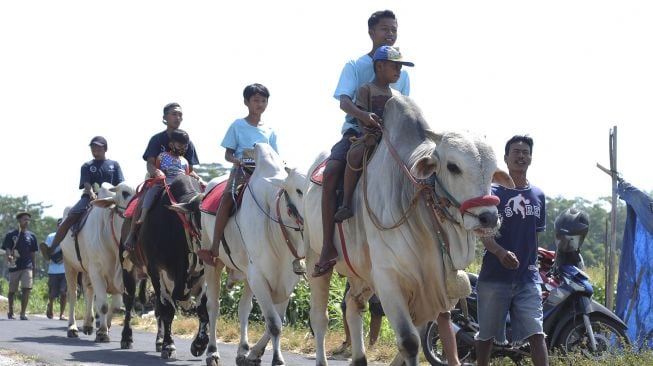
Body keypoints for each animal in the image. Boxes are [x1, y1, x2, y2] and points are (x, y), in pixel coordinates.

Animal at [60, 182, 135, 342]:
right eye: (125, 193)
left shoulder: (123, 275)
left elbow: (116, 306)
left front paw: (106, 326)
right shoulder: (97, 272)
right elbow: (103, 305)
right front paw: (101, 333)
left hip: (87, 270)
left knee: (89, 291)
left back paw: (88, 325)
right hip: (70, 265)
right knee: (73, 295)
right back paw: (72, 328)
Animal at [200, 143, 306, 366]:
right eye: (299, 190)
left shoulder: (287, 281)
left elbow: (277, 320)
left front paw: (254, 354)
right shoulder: (259, 277)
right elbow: (274, 324)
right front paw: (277, 359)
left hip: (247, 276)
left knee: (243, 309)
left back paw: (242, 351)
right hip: (212, 261)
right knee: (213, 305)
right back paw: (212, 352)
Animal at [304, 96, 512, 364]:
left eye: (493, 170)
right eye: (453, 167)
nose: (488, 218)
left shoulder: (432, 291)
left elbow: (416, 340)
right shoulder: (388, 278)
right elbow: (410, 341)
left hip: (361, 272)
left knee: (352, 306)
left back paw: (359, 358)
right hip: (314, 257)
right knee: (319, 317)